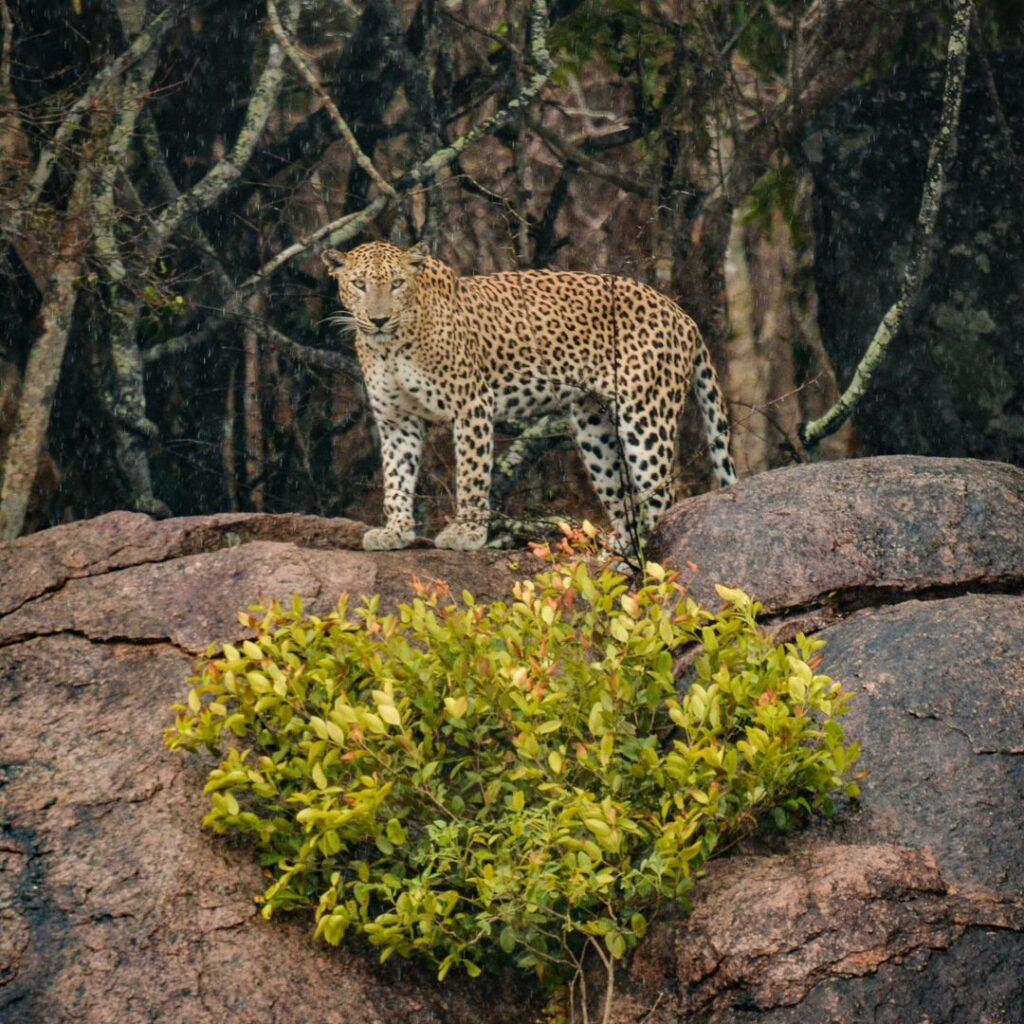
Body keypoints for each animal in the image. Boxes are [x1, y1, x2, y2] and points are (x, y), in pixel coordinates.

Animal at [323, 241, 733, 552]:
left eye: (397, 284)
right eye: (359, 284)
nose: (378, 319)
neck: (390, 347)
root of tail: (681, 313)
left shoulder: (471, 405)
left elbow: (471, 475)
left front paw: (467, 534)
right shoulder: (397, 421)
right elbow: (397, 477)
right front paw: (395, 531)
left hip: (645, 420)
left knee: (663, 496)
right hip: (593, 429)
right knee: (621, 495)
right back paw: (624, 550)